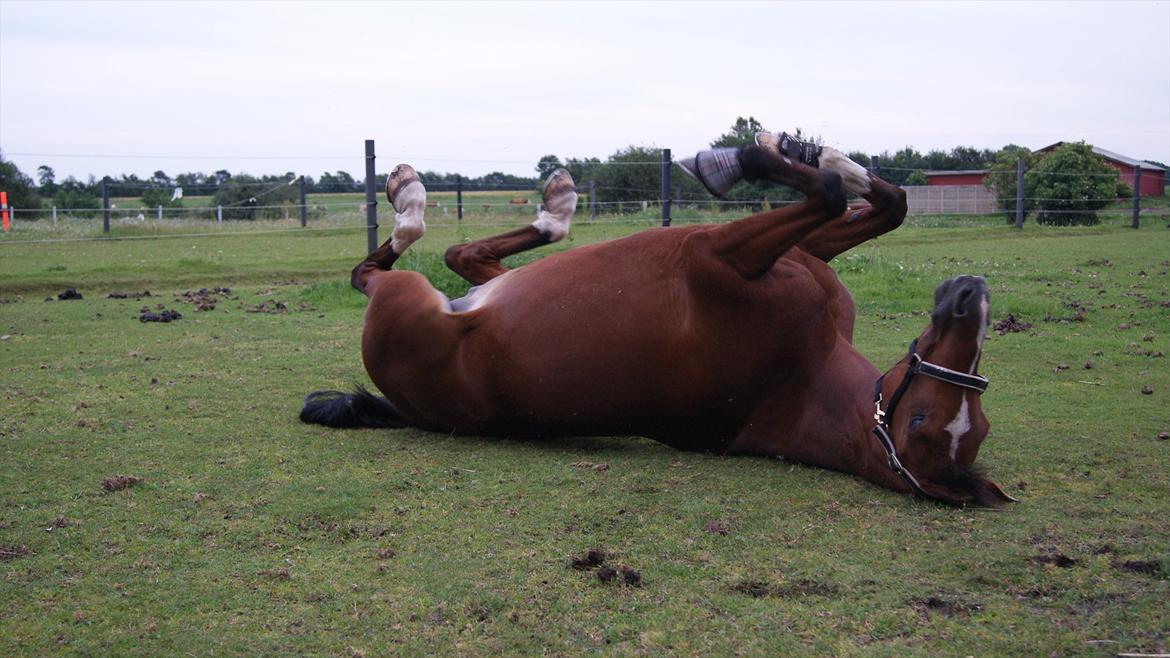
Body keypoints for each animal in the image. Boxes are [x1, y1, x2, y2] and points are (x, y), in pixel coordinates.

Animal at [301, 134, 1015, 508]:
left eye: (923, 422)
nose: (968, 295)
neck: (796, 372)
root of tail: (407, 407)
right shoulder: (790, 254)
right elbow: (882, 202)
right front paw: (818, 152)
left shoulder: (715, 253)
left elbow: (835, 196)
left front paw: (738, 159)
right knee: (461, 254)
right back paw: (553, 204)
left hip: (406, 301)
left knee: (379, 269)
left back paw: (414, 199)